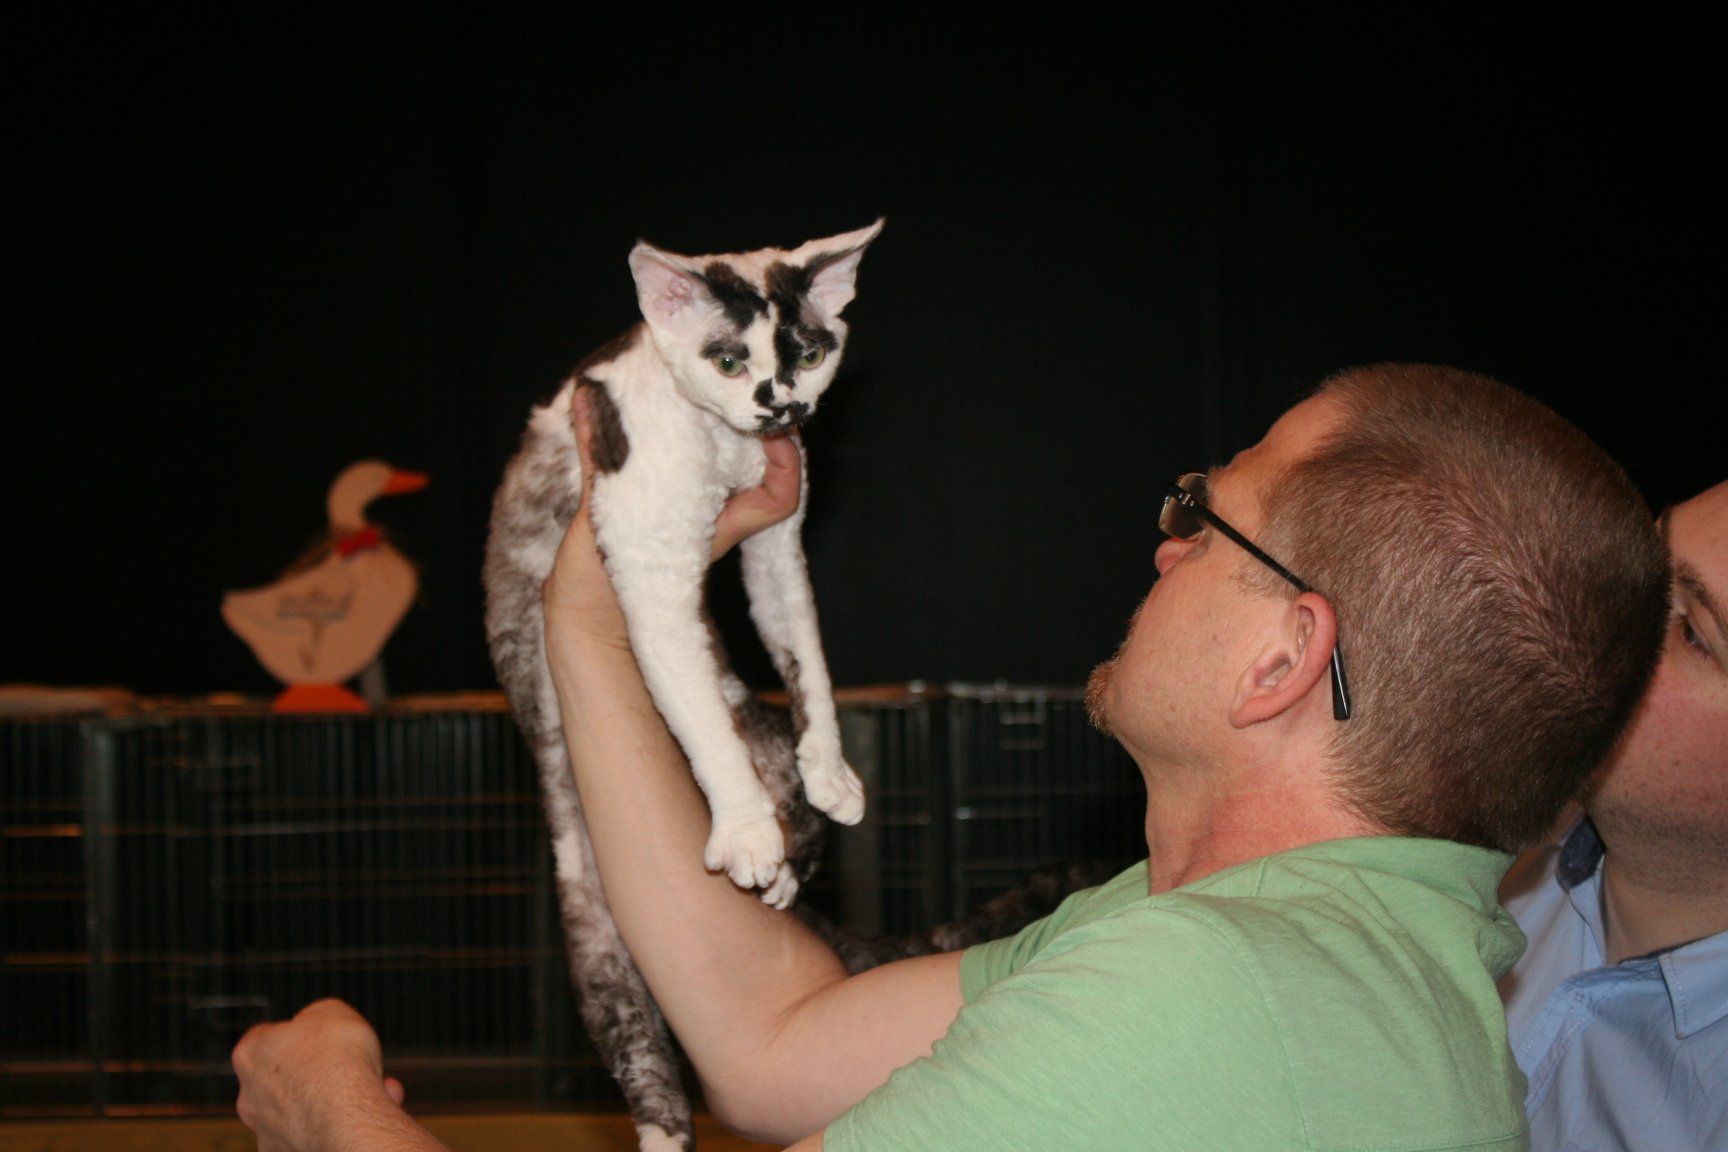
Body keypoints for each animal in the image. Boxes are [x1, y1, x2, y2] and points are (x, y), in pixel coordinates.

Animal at [483, 222, 884, 1150]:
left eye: (811, 352)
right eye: (729, 359)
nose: (780, 406)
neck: (731, 450)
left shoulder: (778, 537)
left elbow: (803, 649)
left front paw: (830, 766)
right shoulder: (647, 553)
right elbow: (698, 716)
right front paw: (742, 828)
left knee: (796, 815)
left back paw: (788, 860)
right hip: (588, 913)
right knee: (632, 1035)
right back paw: (662, 1128)